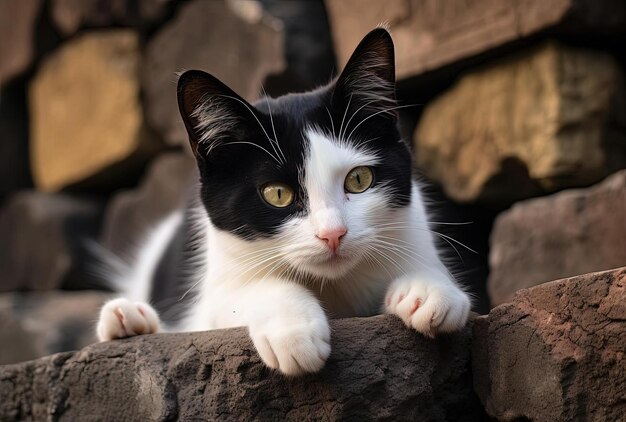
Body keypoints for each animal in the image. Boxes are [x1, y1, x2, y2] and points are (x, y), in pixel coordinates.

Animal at [96, 28, 468, 374]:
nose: (333, 234)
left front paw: (431, 289)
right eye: (277, 194)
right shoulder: (212, 293)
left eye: (359, 179)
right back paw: (126, 318)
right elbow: (238, 293)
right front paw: (294, 331)